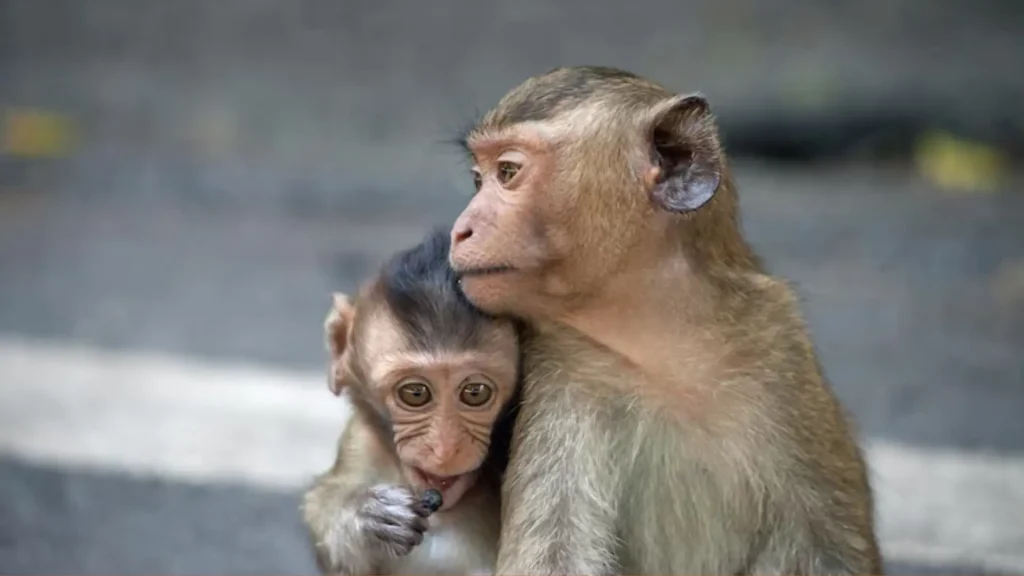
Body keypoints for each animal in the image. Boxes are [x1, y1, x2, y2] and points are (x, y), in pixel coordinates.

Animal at [447, 66, 883, 575]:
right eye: (477, 179)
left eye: (508, 173)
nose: (460, 229)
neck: (668, 350)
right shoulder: (565, 379)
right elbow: (555, 556)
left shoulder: (780, 348)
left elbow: (825, 548)